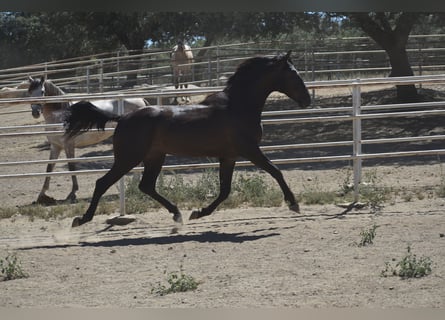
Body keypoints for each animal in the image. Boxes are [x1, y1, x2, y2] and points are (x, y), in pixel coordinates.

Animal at [64, 52, 310, 228]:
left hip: (154, 157)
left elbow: (225, 190)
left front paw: (199, 213)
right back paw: (81, 219)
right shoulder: (249, 150)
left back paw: (177, 214)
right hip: (128, 158)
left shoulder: (229, 156)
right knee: (103, 183)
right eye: (293, 74)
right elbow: (275, 171)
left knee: (146, 185)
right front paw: (294, 204)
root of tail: (122, 117)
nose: (307, 100)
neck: (238, 107)